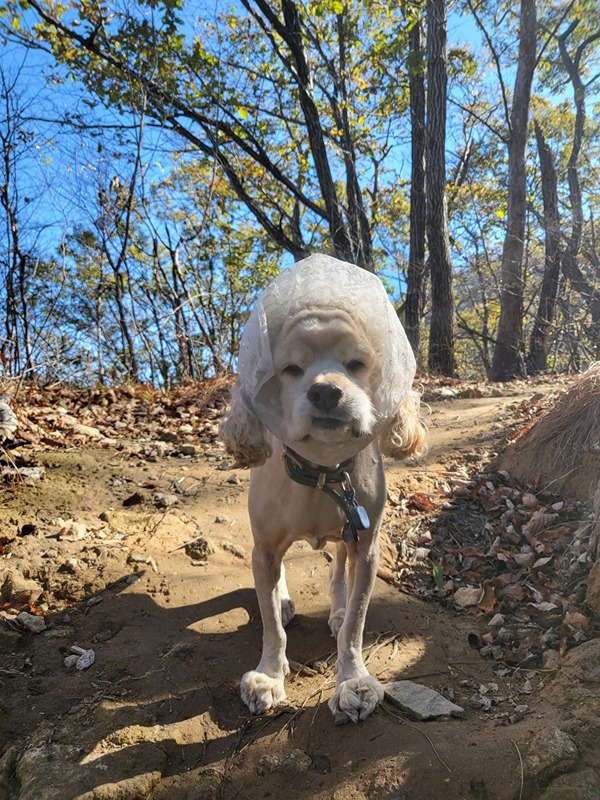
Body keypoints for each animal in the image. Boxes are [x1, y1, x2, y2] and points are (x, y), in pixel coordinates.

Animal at [220, 256, 426, 724]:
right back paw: (282, 600)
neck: (320, 472)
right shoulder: (264, 546)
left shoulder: (366, 545)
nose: (326, 391)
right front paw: (268, 677)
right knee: (274, 581)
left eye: (356, 363)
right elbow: (270, 624)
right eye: (291, 369)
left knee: (338, 572)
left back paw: (335, 607)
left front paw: (353, 682)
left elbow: (355, 623)